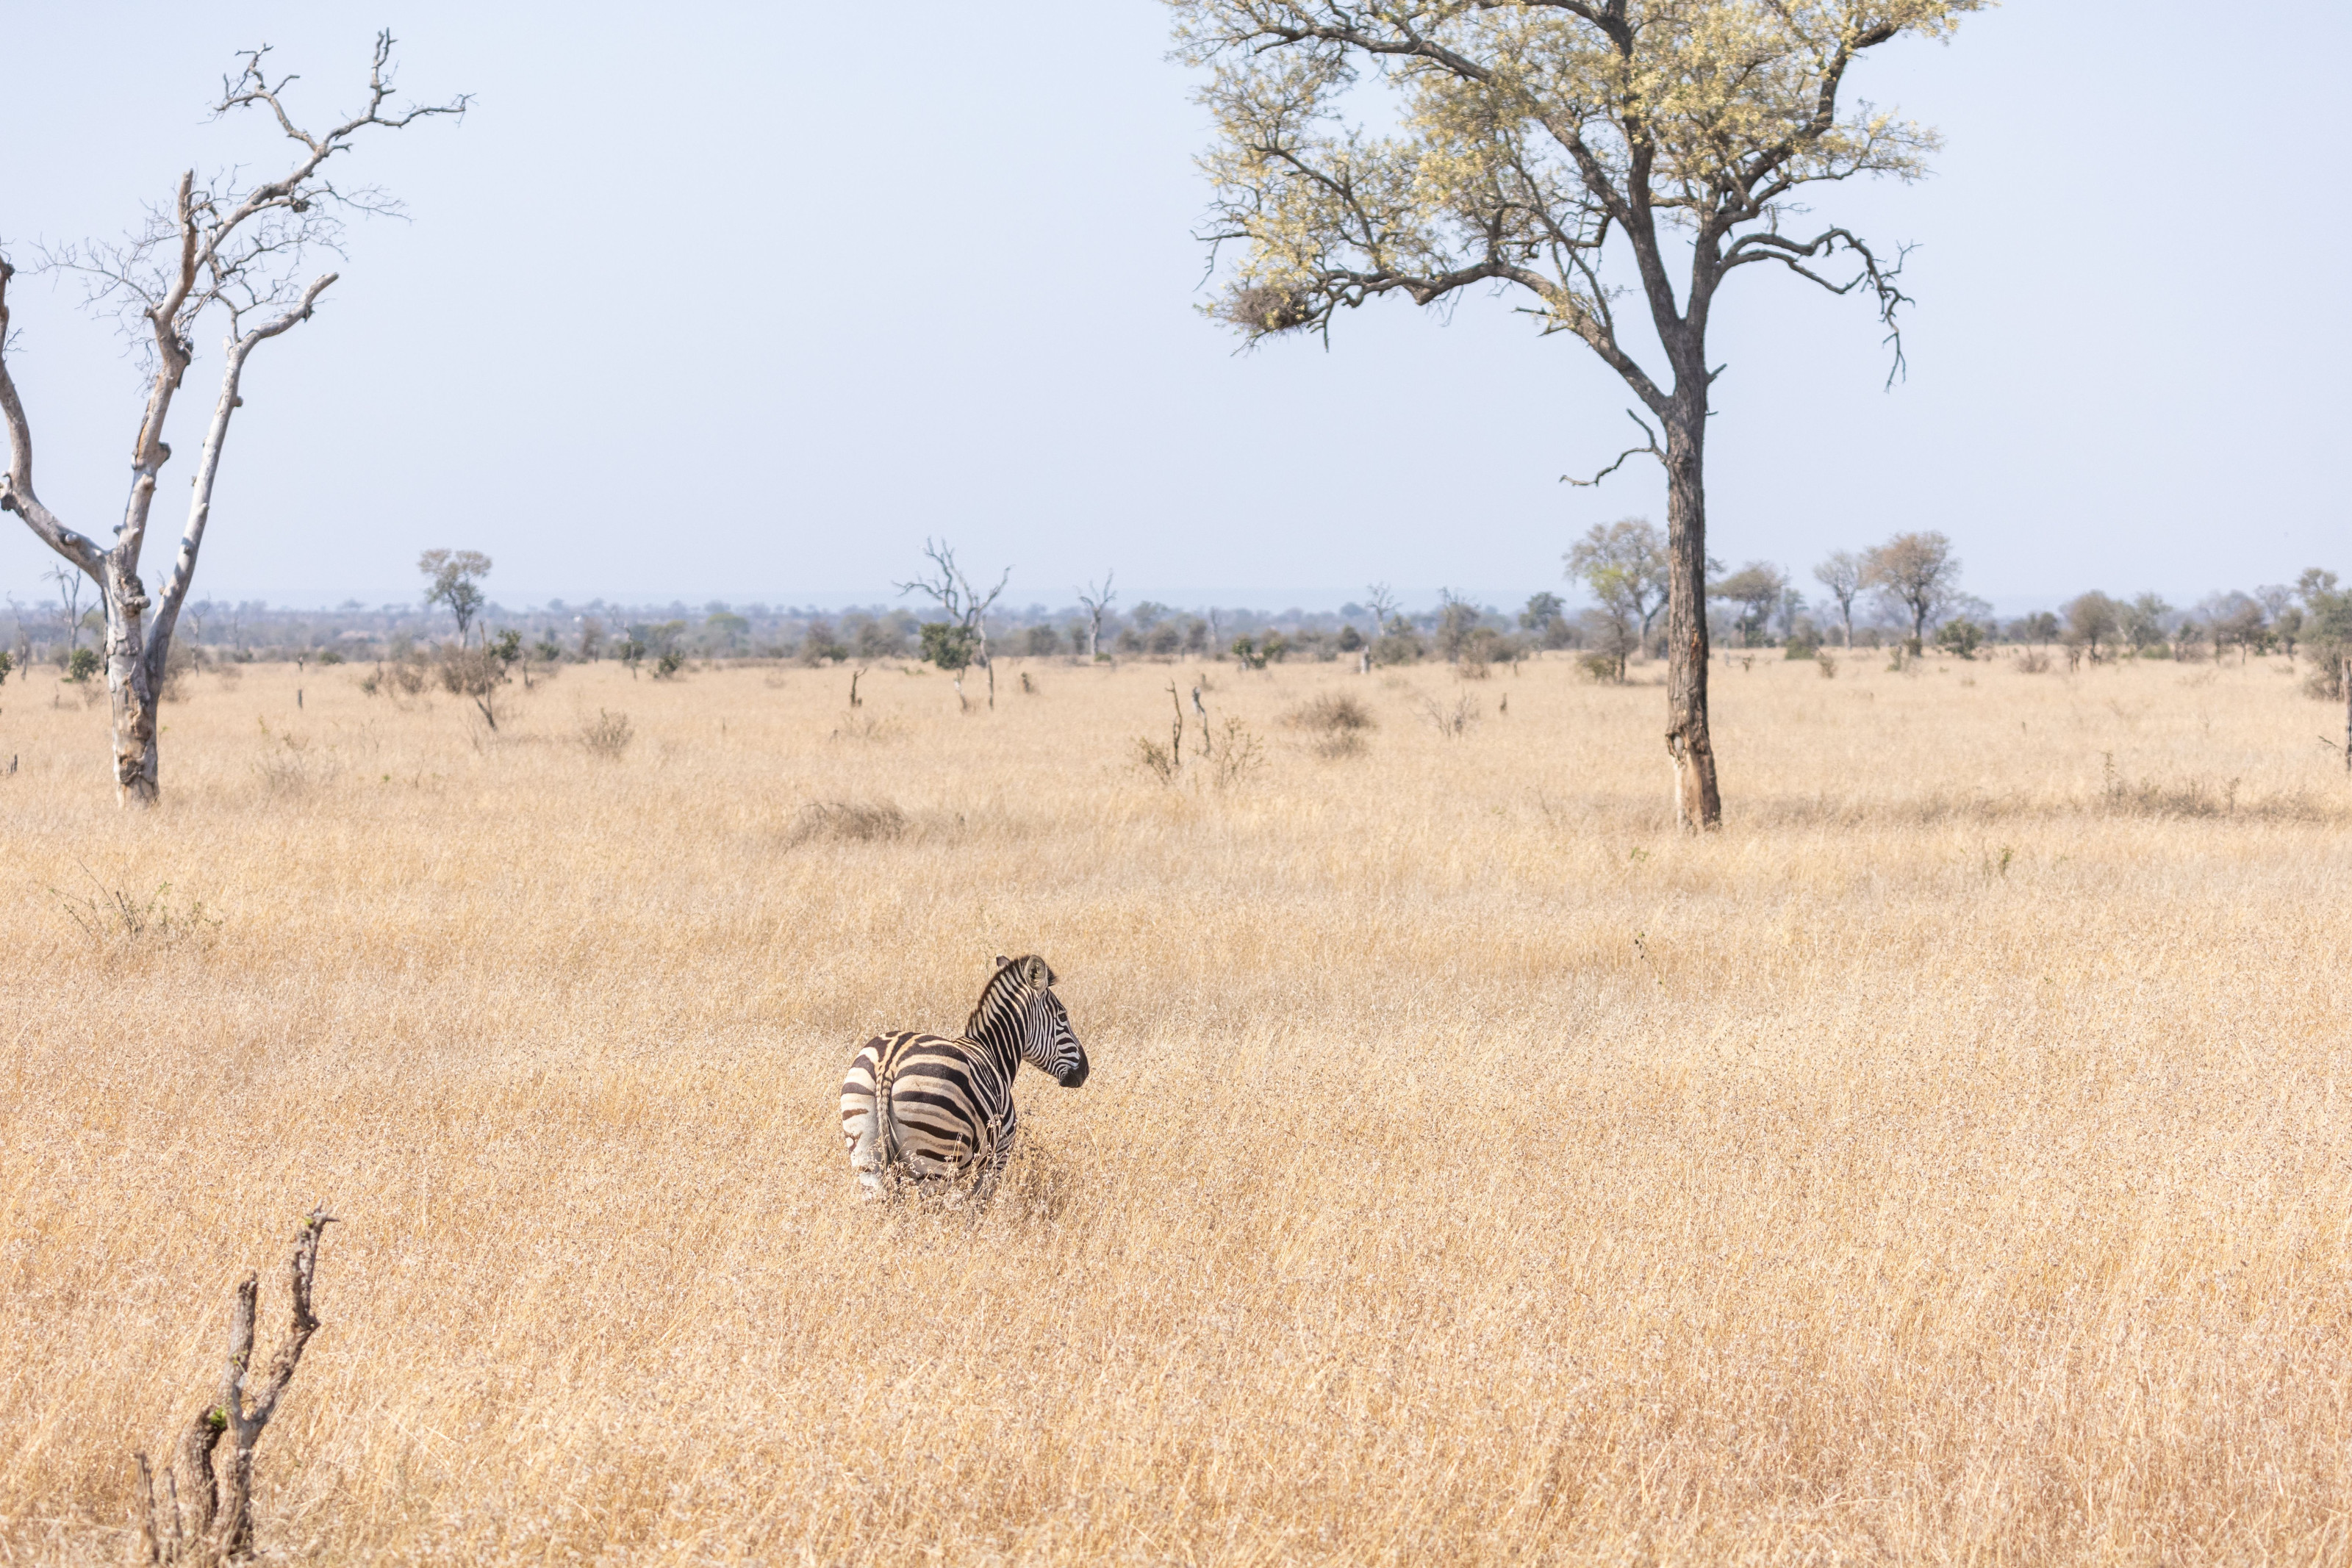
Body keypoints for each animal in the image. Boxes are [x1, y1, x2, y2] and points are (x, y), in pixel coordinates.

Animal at [839, 954, 1089, 1198]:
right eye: (1063, 1016)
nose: (1085, 1070)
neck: (991, 1051)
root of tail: (890, 1062)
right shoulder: (996, 1159)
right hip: (935, 1164)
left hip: (868, 1158)